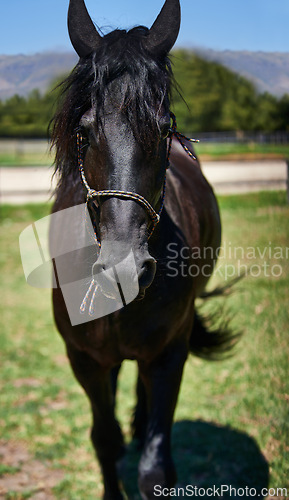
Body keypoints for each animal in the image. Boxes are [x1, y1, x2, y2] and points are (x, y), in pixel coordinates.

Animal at [50, 0, 234, 500]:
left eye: (165, 126)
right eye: (84, 129)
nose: (124, 268)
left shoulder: (170, 353)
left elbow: (154, 467)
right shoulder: (83, 358)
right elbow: (104, 440)